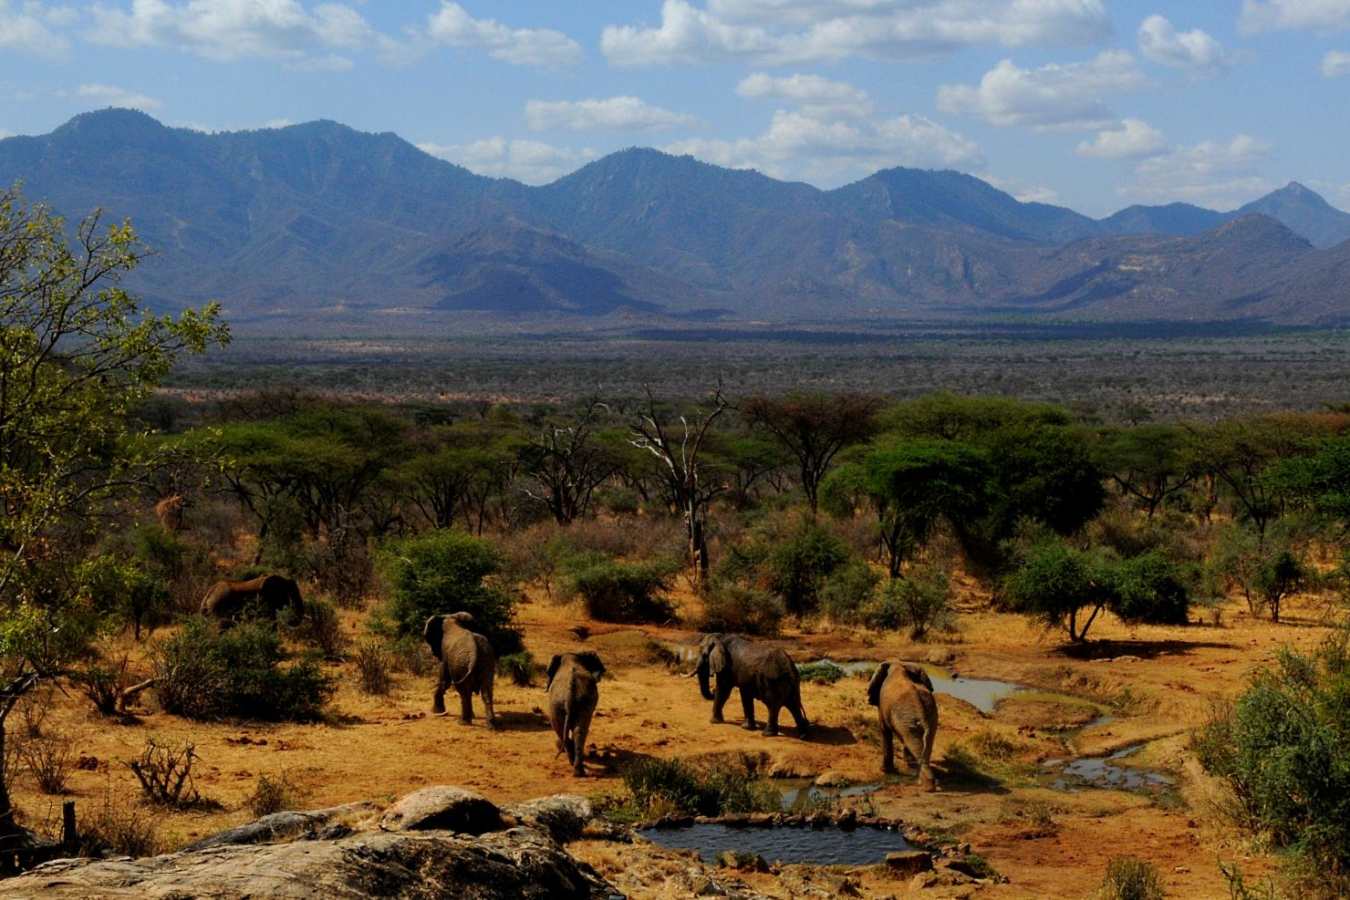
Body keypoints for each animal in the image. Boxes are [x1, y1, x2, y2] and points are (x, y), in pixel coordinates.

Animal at [867, 661, 939, 791]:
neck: (899, 664)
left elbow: (885, 730)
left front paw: (884, 771)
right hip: (928, 717)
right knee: (923, 742)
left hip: (909, 716)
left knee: (913, 742)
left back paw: (926, 786)